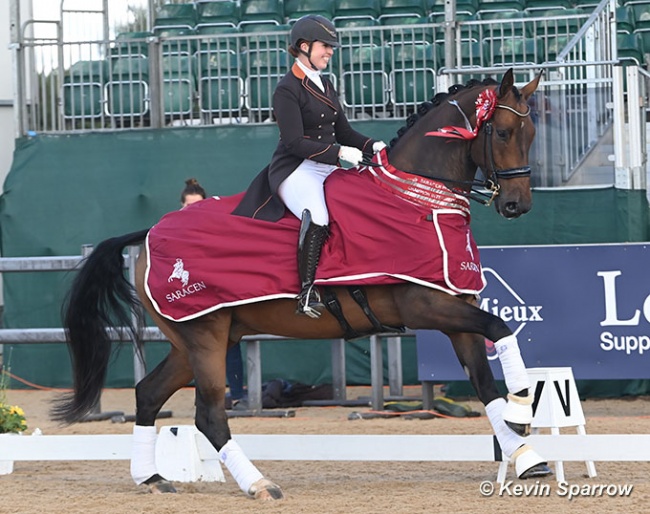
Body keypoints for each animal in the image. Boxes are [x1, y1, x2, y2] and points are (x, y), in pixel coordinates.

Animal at [52, 68, 548, 496]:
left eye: (531, 135)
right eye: (502, 133)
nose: (517, 205)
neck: (418, 198)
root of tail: (151, 231)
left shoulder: (456, 312)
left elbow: (486, 385)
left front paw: (526, 455)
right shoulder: (423, 307)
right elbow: (502, 330)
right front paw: (523, 405)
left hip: (196, 340)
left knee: (149, 393)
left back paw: (152, 478)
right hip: (204, 336)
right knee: (209, 414)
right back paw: (258, 484)